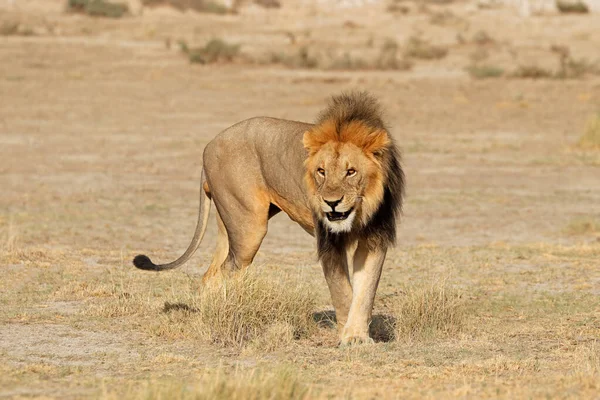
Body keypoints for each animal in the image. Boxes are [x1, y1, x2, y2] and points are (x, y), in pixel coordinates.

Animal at [134, 91, 406, 344]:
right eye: (321, 171)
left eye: (351, 172)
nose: (331, 203)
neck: (360, 212)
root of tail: (208, 146)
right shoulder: (329, 242)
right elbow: (343, 293)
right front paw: (348, 336)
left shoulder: (374, 239)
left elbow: (365, 292)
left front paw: (358, 335)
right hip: (249, 229)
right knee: (225, 272)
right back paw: (224, 317)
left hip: (229, 225)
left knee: (210, 275)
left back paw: (212, 315)